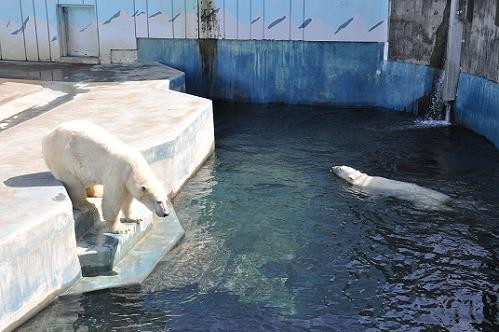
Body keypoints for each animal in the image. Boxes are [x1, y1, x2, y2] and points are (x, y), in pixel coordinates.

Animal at [42, 120, 170, 233]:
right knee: (74, 184)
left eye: (165, 199)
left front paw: (134, 218)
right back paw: (87, 205)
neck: (134, 166)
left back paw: (97, 192)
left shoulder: (126, 179)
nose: (166, 213)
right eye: (158, 201)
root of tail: (47, 137)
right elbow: (112, 200)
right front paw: (120, 228)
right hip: (63, 158)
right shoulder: (118, 173)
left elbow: (127, 200)